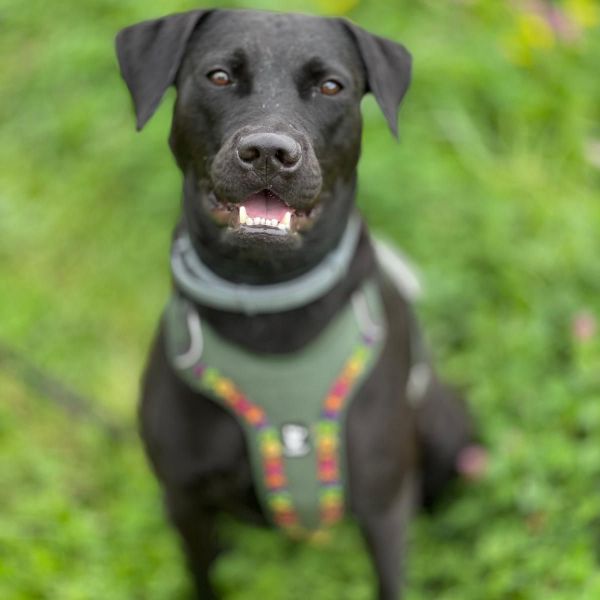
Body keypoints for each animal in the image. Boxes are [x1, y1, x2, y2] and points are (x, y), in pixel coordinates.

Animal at [116, 9, 474, 600]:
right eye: (218, 76)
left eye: (331, 86)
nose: (268, 152)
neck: (269, 308)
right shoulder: (185, 501)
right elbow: (204, 576)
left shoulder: (384, 506)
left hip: (449, 431)